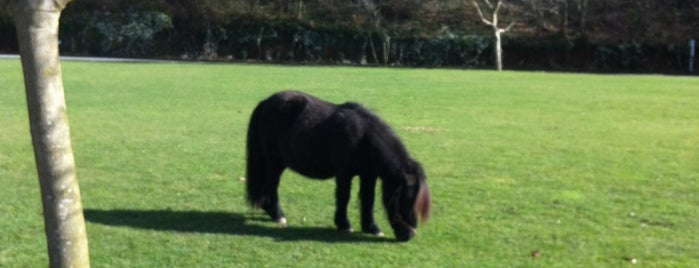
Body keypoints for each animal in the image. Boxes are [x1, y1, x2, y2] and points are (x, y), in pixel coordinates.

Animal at [246, 91, 432, 242]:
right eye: (404, 199)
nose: (409, 235)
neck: (362, 138)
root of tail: (266, 102)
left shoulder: (368, 175)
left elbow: (368, 199)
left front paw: (371, 227)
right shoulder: (344, 174)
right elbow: (344, 197)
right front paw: (344, 224)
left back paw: (268, 209)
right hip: (274, 161)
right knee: (272, 184)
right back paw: (278, 215)